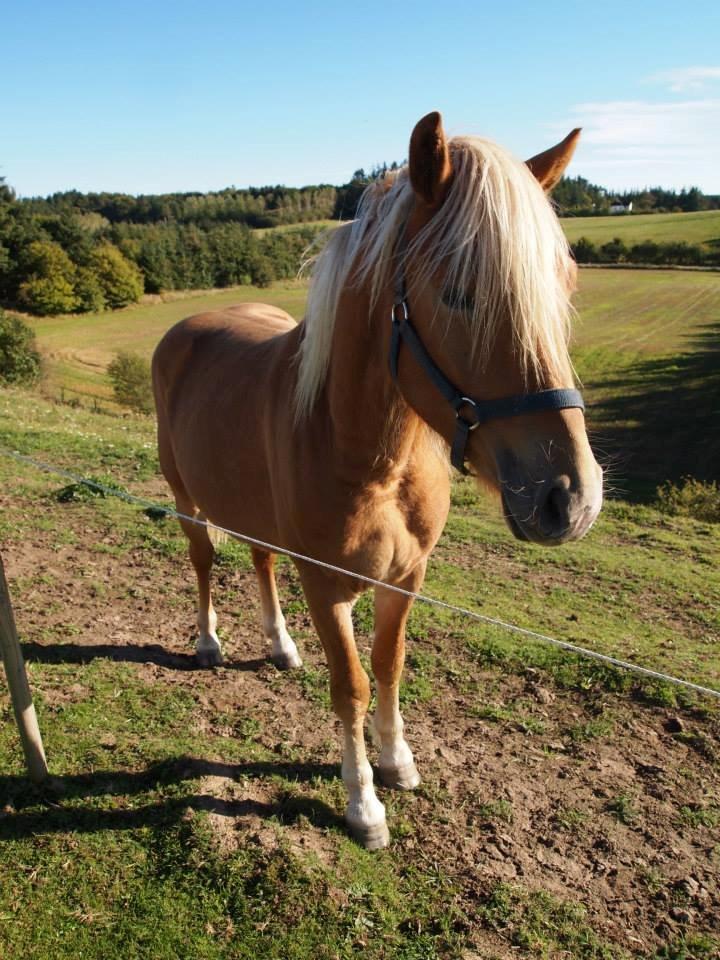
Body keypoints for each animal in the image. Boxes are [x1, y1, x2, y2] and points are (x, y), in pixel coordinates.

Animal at [152, 114, 600, 848]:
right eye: (457, 292)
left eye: (564, 282)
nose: (570, 498)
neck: (375, 461)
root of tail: (188, 326)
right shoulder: (326, 584)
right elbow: (352, 685)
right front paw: (363, 804)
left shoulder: (407, 577)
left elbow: (389, 665)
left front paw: (397, 762)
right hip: (187, 500)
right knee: (204, 560)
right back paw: (208, 642)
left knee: (260, 559)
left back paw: (279, 645)